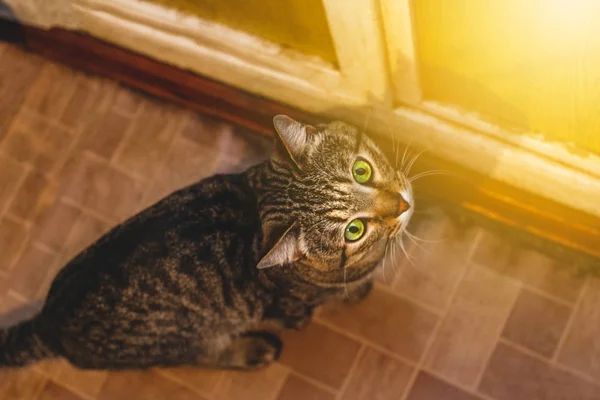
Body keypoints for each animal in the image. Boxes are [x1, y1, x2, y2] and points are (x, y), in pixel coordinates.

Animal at [0, 114, 412, 370]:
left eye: (362, 170)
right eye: (353, 230)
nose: (402, 205)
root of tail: (47, 322)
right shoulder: (291, 306)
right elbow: (323, 299)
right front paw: (354, 290)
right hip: (190, 337)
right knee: (202, 356)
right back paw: (252, 350)